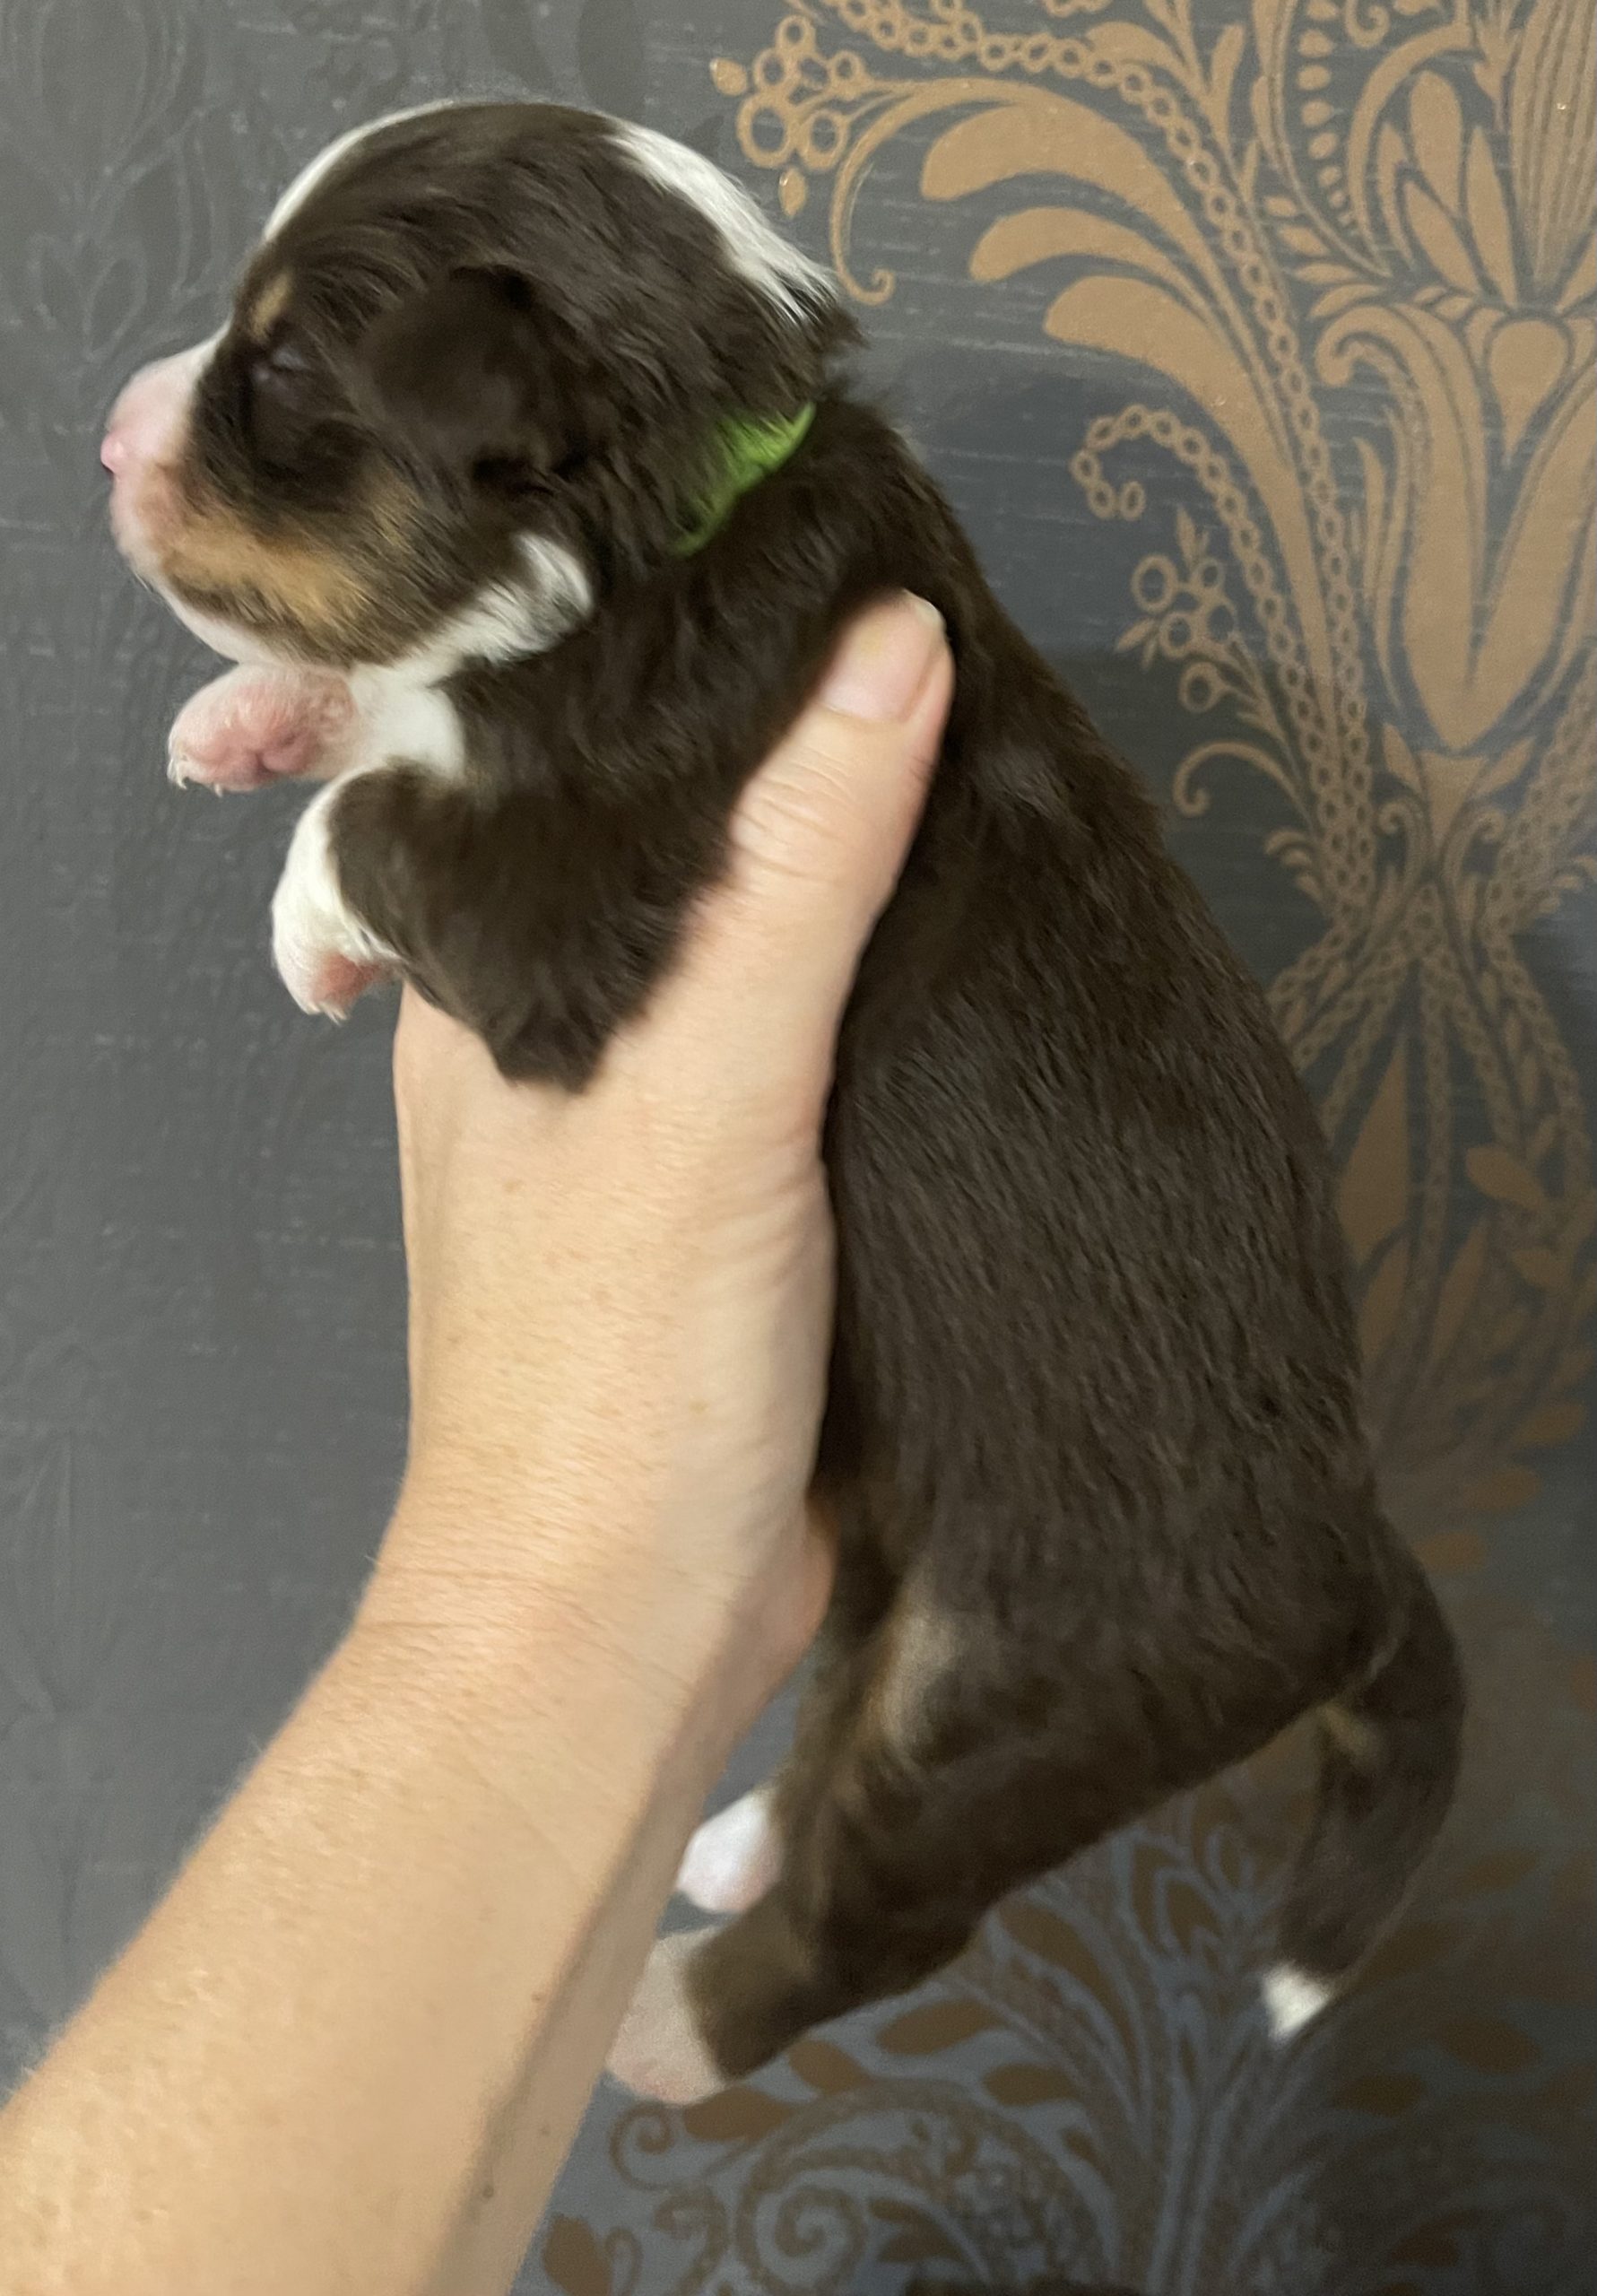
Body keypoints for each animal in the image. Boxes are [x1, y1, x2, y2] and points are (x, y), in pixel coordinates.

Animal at [102, 101, 1463, 2103]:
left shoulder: (562, 902)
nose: (110, 439)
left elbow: (373, 820)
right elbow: (386, 719)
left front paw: (298, 912)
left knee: (880, 1911)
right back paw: (735, 1834)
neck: (687, 514)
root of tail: (1352, 1554)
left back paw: (664, 2024)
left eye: (279, 371)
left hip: (1020, 1681)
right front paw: (249, 719)